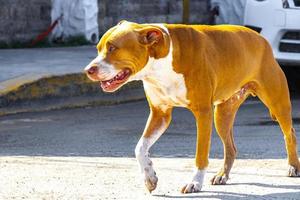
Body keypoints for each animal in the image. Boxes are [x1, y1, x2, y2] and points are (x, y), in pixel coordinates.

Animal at [84, 21, 300, 194]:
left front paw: (195, 183)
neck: (160, 65)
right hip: (222, 115)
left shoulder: (202, 114)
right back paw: (222, 175)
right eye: (98, 48)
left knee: (289, 133)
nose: (88, 70)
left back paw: (293, 166)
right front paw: (149, 178)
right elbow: (140, 147)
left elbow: (200, 154)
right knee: (231, 147)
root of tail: (261, 39)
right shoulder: (160, 114)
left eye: (113, 48)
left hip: (277, 103)